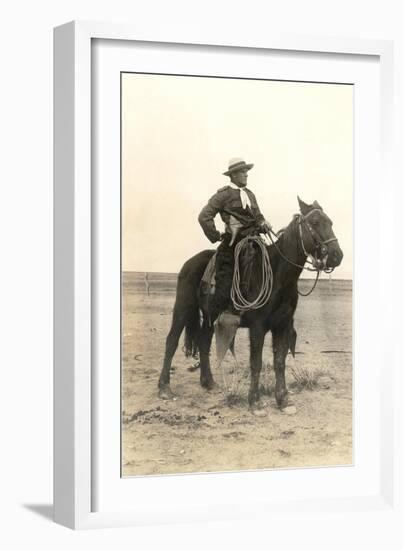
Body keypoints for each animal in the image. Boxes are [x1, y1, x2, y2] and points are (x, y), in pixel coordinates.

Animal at [158, 198, 344, 414]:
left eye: (330, 222)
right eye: (314, 222)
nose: (337, 255)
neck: (279, 274)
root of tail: (190, 262)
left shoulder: (282, 325)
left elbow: (279, 361)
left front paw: (283, 400)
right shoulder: (257, 327)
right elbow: (256, 363)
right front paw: (254, 401)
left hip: (210, 316)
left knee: (204, 343)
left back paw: (208, 382)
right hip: (183, 307)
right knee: (171, 341)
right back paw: (164, 388)